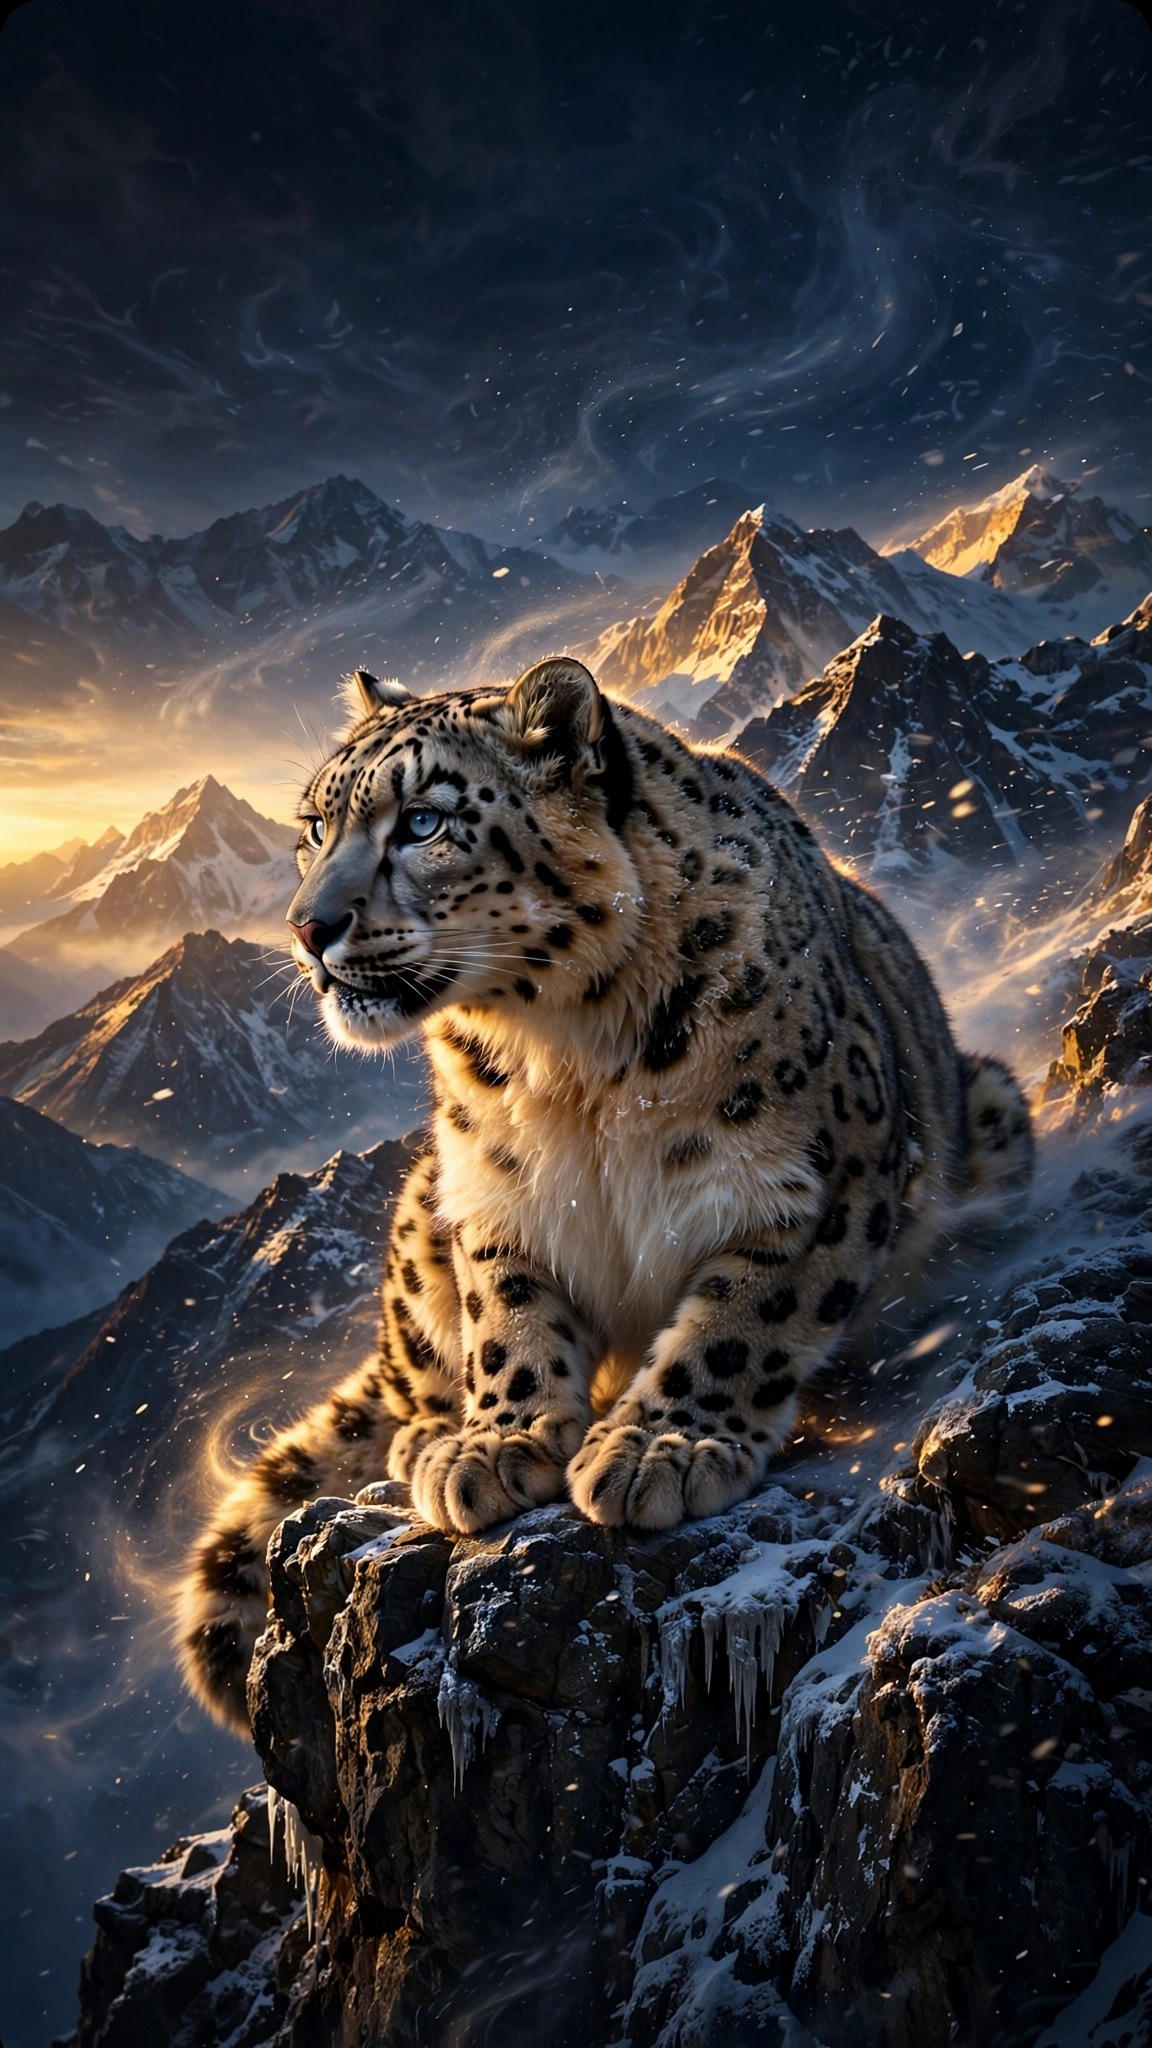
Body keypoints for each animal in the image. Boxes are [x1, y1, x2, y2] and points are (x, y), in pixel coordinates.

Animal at [179, 654, 1033, 1731]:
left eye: (423, 821)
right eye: (312, 828)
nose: (306, 927)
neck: (565, 1055)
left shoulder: (822, 1177)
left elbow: (746, 1317)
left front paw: (664, 1447)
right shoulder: (493, 1197)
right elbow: (507, 1314)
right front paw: (498, 1443)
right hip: (420, 1213)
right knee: (410, 1372)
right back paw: (429, 1436)